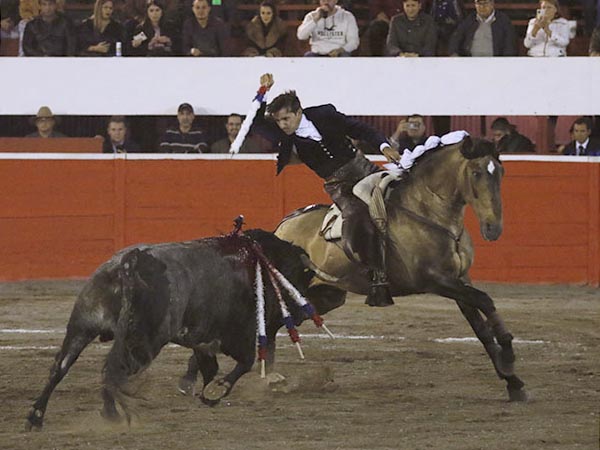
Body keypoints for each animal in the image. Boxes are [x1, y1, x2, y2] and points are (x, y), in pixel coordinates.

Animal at [24, 230, 314, 430]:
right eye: (298, 277)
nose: (301, 316)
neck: (260, 263)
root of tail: (130, 262)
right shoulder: (236, 334)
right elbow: (244, 362)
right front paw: (217, 391)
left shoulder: (202, 339)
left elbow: (210, 366)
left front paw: (207, 393)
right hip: (143, 344)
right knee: (113, 372)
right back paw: (112, 415)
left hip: (81, 326)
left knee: (60, 368)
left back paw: (36, 417)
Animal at [274, 136, 528, 400]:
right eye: (476, 173)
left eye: (501, 172)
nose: (493, 228)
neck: (428, 213)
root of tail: (283, 225)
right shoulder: (435, 281)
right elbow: (486, 300)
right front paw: (508, 356)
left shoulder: (460, 279)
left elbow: (481, 328)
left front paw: (512, 381)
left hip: (326, 295)